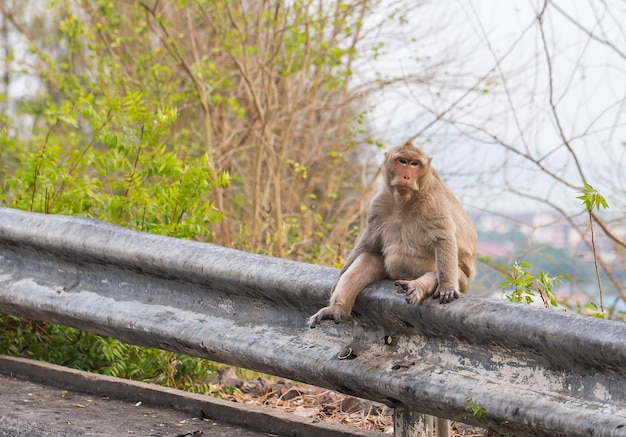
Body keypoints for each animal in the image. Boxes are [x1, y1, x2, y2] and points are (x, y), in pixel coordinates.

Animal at [308, 141, 478, 328]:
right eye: (402, 161)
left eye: (414, 164)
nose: (406, 176)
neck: (405, 200)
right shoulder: (379, 204)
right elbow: (369, 242)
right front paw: (339, 279)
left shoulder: (433, 203)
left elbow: (443, 239)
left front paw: (446, 287)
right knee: (367, 259)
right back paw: (337, 309)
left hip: (462, 281)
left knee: (440, 269)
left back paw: (417, 287)